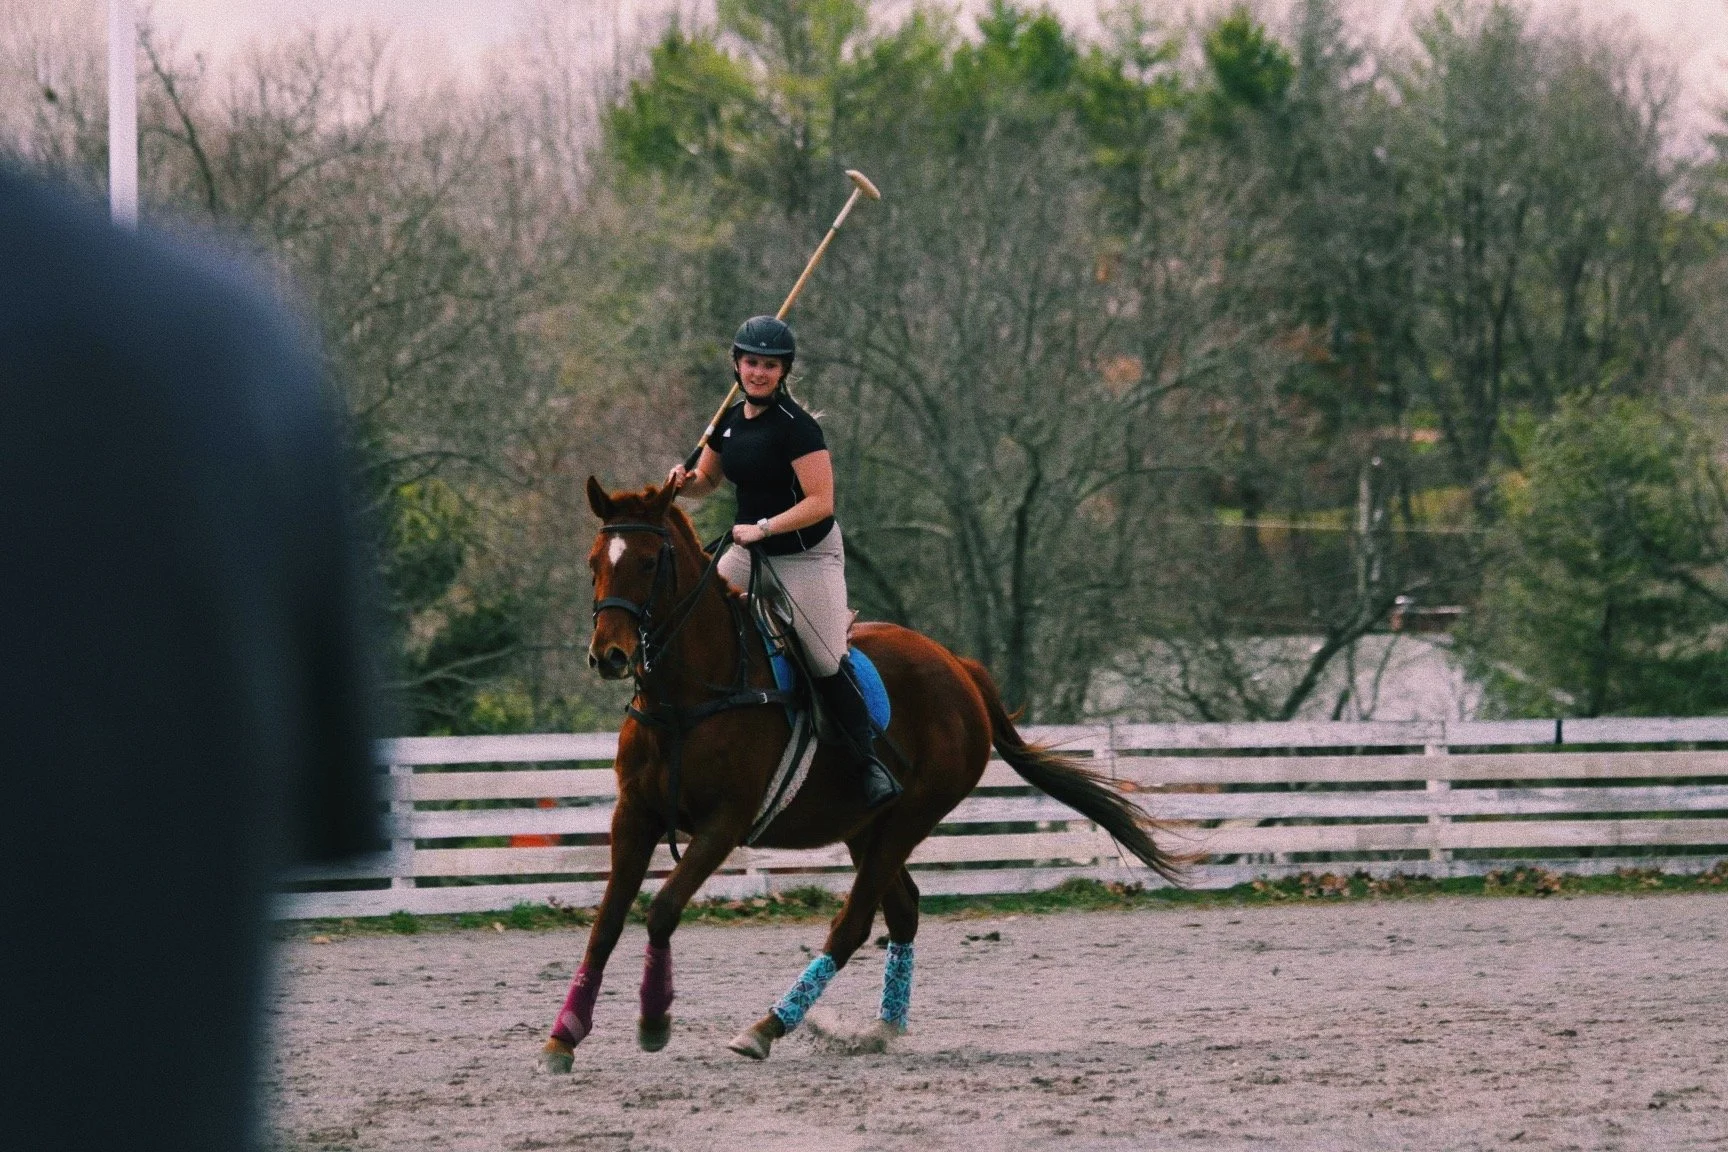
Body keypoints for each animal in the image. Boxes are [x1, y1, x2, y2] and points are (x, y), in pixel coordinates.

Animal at [541, 477, 1186, 1070]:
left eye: (649, 563)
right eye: (594, 564)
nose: (609, 656)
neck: (691, 695)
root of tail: (960, 667)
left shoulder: (724, 824)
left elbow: (663, 909)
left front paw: (654, 1021)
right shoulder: (635, 815)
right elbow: (607, 922)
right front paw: (564, 1034)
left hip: (910, 816)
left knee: (852, 925)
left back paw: (769, 1026)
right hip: (866, 827)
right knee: (901, 910)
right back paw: (881, 1029)